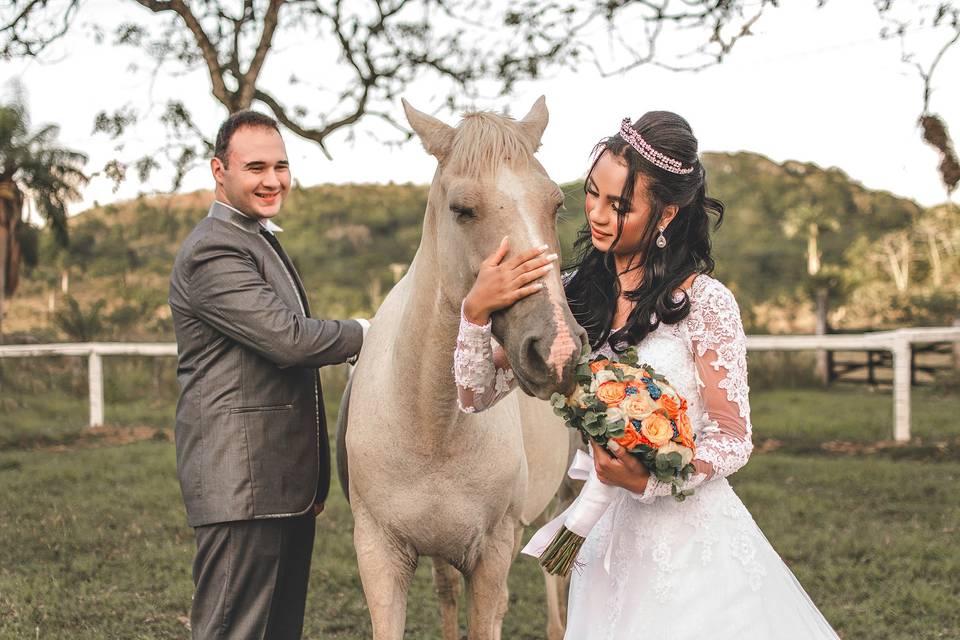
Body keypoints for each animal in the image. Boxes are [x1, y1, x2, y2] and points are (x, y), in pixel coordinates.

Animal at [338, 96, 584, 640]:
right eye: (462, 209)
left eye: (555, 205)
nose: (556, 350)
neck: (429, 420)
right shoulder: (379, 556)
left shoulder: (491, 554)